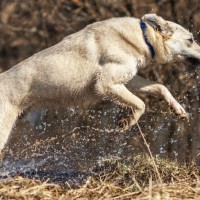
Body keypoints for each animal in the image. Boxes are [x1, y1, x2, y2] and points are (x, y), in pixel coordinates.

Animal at [0, 13, 199, 153]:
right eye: (191, 39)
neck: (144, 38)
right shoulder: (106, 84)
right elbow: (141, 104)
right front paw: (128, 122)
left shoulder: (127, 79)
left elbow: (160, 87)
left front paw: (179, 110)